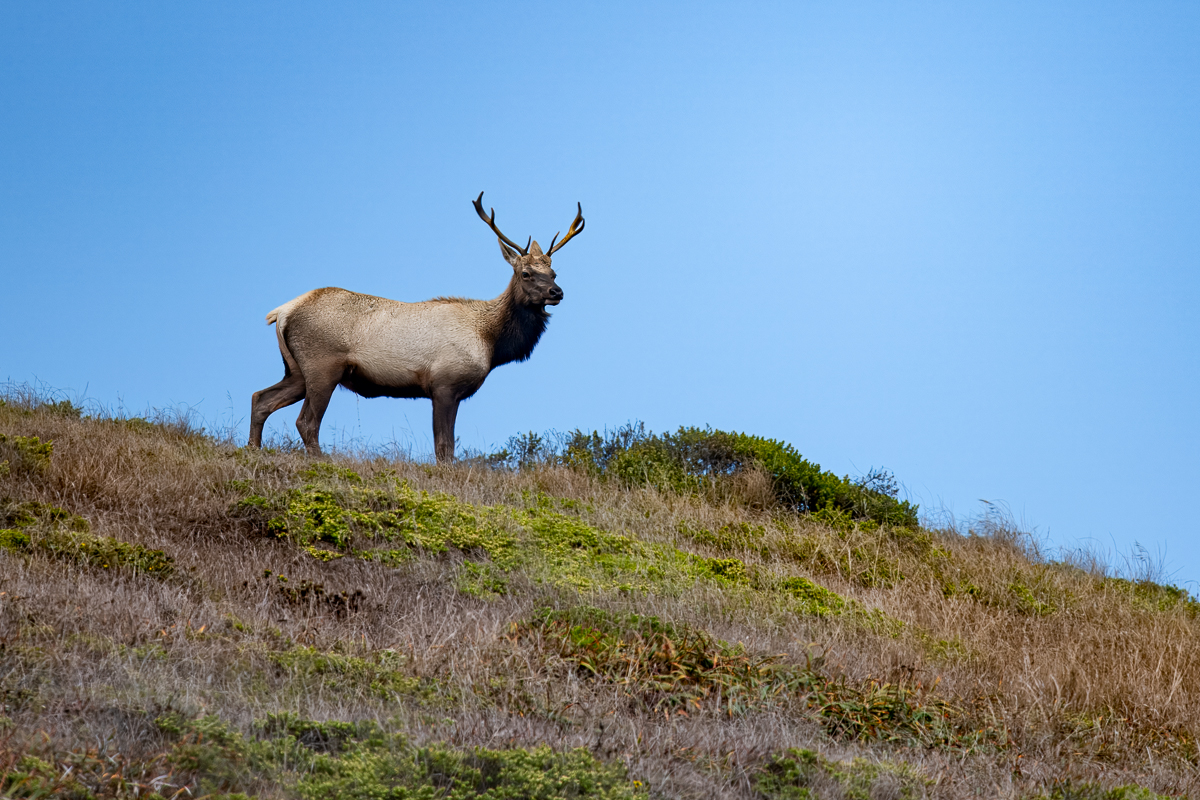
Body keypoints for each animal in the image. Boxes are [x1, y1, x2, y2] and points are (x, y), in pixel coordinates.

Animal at [247, 192, 585, 462]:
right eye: (526, 273)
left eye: (554, 272)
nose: (557, 292)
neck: (490, 340)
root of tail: (282, 312)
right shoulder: (444, 384)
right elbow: (444, 448)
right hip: (322, 366)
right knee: (306, 421)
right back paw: (321, 461)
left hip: (296, 370)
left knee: (260, 399)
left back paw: (253, 449)